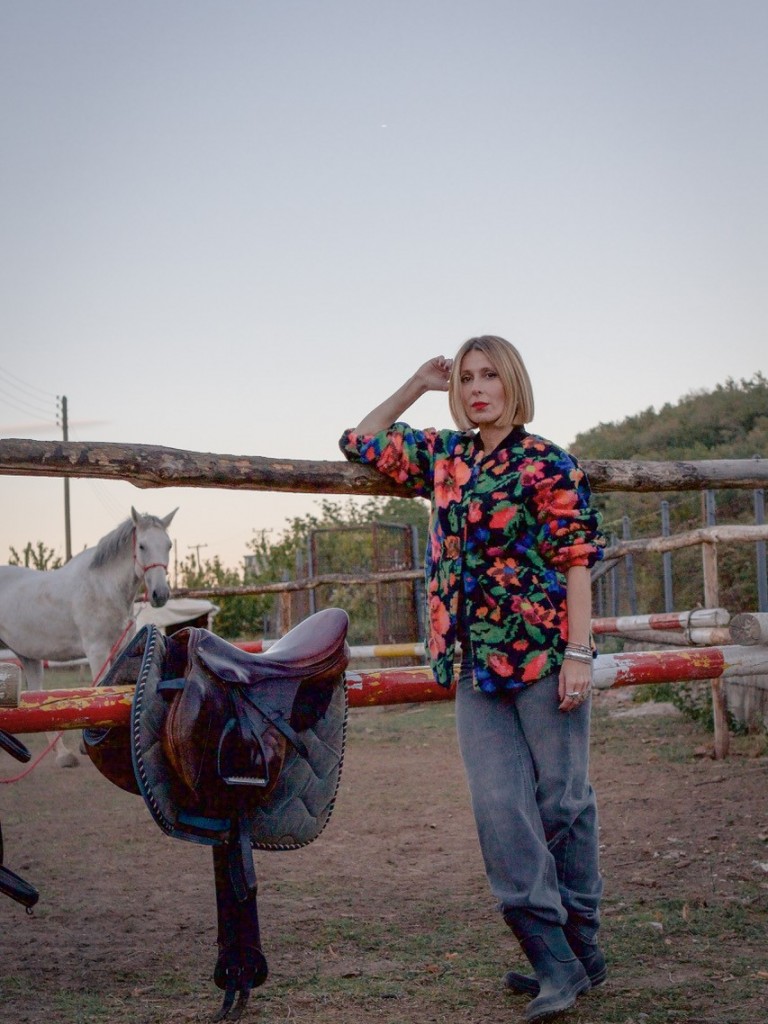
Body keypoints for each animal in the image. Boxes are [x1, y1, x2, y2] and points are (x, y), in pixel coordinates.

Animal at [0, 507, 176, 765]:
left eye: (168, 545)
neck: (104, 587)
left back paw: (63, 755)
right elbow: (98, 690)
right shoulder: (97, 651)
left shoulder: (119, 648)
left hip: (28, 658)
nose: (160, 594)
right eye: (142, 546)